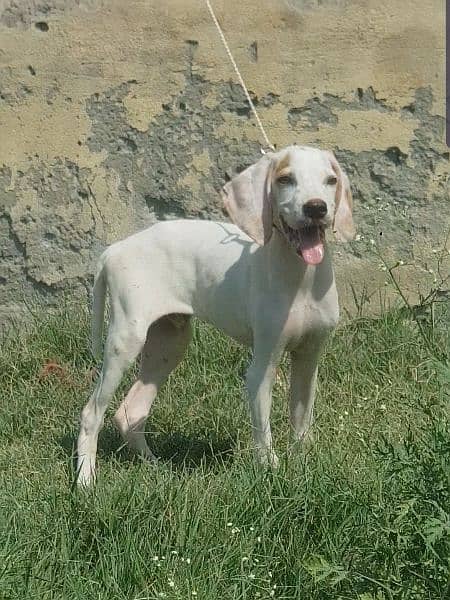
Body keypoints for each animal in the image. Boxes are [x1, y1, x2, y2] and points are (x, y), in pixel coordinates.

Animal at [76, 146, 356, 488]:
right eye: (285, 179)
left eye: (331, 180)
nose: (316, 207)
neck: (300, 279)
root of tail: (114, 250)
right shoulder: (262, 365)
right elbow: (263, 433)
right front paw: (271, 473)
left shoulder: (309, 357)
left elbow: (302, 421)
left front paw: (303, 468)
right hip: (126, 342)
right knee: (92, 413)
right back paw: (85, 480)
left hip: (168, 344)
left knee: (129, 412)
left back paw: (156, 467)